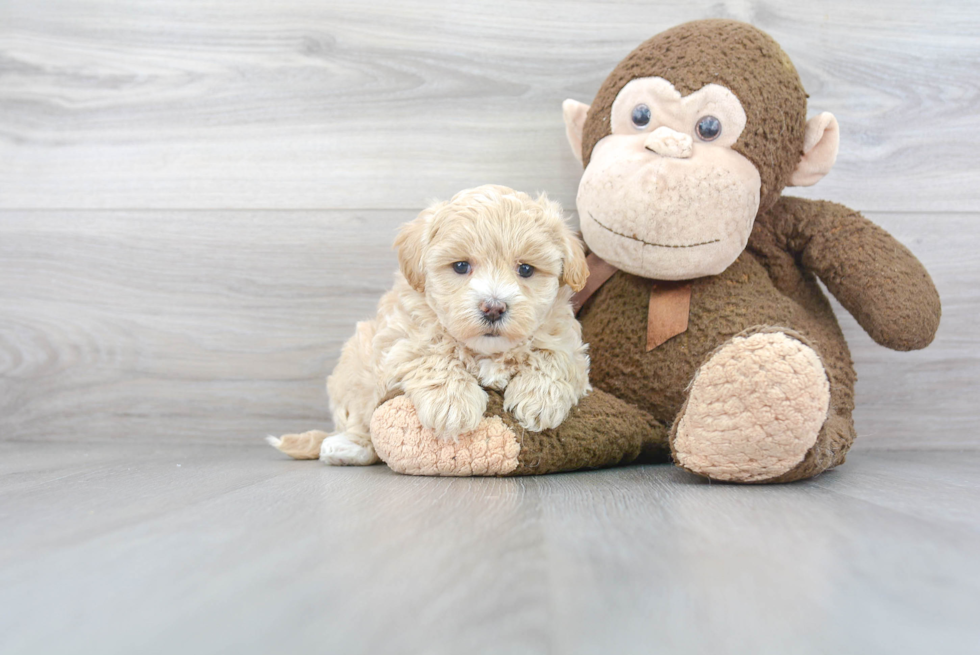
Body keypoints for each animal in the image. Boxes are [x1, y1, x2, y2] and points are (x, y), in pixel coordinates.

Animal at [268, 182, 588, 464]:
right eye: (461, 266)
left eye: (526, 270)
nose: (493, 308)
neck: (485, 351)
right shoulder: (400, 340)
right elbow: (432, 355)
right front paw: (452, 405)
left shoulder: (569, 343)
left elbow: (555, 355)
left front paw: (539, 399)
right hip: (355, 368)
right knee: (362, 418)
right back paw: (347, 447)